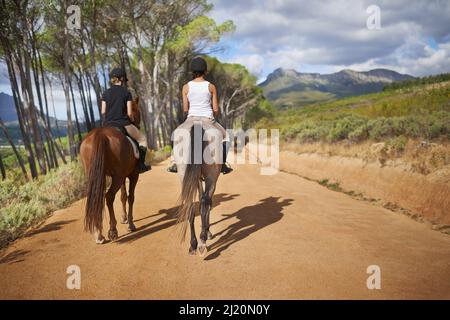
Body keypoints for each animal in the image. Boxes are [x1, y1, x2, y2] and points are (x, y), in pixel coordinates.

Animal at [80, 97, 142, 242]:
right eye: (137, 110)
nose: (138, 124)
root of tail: (99, 134)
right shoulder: (133, 174)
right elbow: (130, 197)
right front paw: (130, 224)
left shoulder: (123, 175)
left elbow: (123, 196)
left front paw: (124, 218)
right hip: (117, 177)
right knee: (109, 197)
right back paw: (112, 230)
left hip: (97, 176)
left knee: (98, 198)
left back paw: (99, 234)